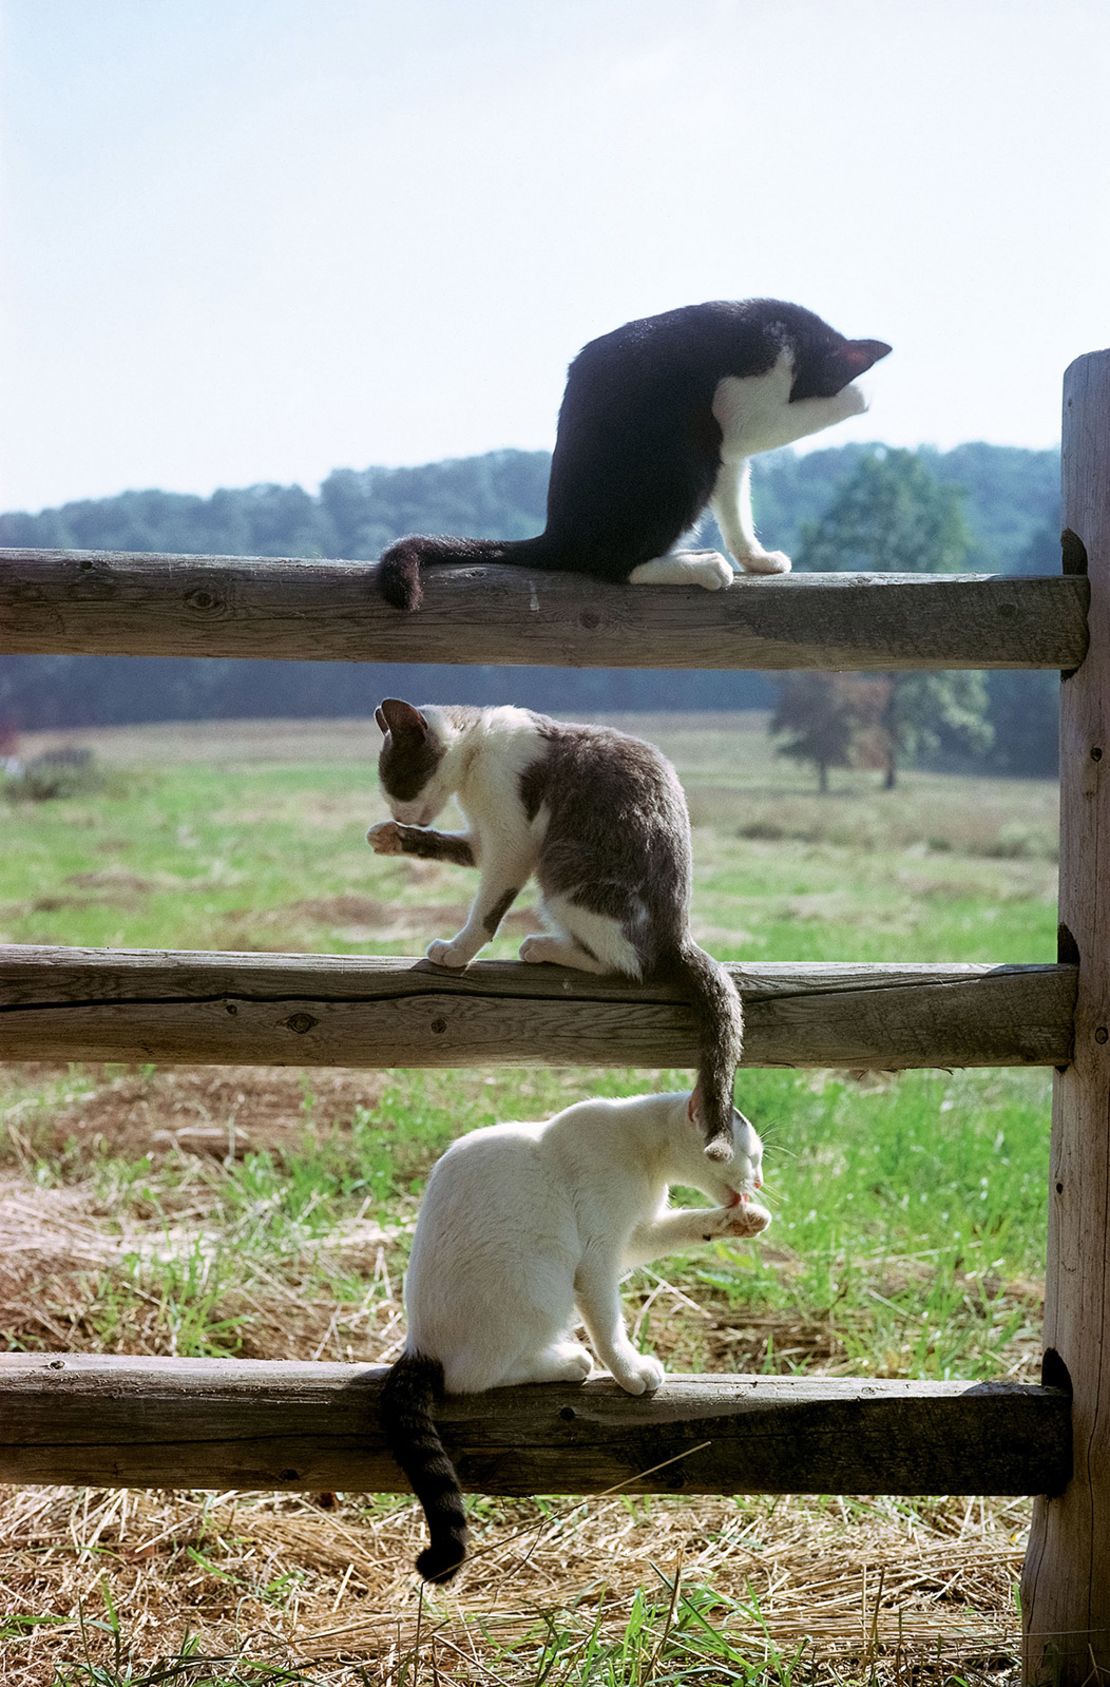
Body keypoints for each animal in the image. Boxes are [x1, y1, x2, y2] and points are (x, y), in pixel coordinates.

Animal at [369, 698, 742, 1160]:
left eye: (399, 781)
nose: (397, 814)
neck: (477, 750)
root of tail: (678, 935)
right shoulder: (485, 839)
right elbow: (463, 848)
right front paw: (393, 837)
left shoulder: (514, 839)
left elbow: (489, 907)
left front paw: (458, 951)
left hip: (564, 864)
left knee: (629, 963)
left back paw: (544, 947)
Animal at [376, 300, 883, 610]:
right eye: (834, 378)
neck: (796, 339)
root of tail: (559, 534)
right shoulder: (737, 406)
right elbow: (770, 420)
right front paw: (862, 395)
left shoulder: (732, 449)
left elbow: (736, 501)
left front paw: (756, 558)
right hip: (685, 456)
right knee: (616, 565)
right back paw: (700, 565)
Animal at [376, 1086, 765, 1585]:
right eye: (752, 1156)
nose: (759, 1181)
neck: (642, 1151)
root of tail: (418, 1347)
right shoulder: (596, 1257)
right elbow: (608, 1325)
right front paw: (628, 1371)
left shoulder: (631, 1238)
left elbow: (680, 1225)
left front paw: (740, 1221)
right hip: (542, 1277)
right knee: (471, 1378)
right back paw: (566, 1361)